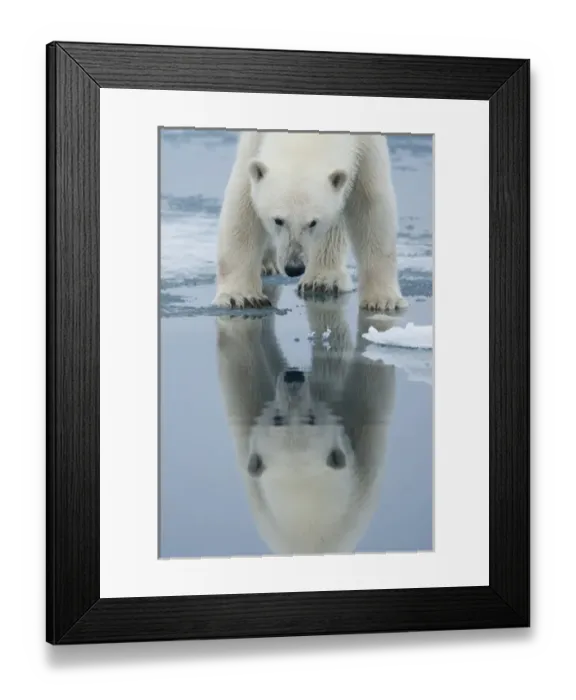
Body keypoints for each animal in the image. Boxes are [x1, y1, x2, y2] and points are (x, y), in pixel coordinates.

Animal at [212, 130, 407, 313]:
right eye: (278, 220)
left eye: (313, 222)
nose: (294, 267)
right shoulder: (254, 142)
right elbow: (243, 207)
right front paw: (241, 297)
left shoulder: (367, 145)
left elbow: (371, 207)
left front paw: (383, 300)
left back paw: (323, 280)